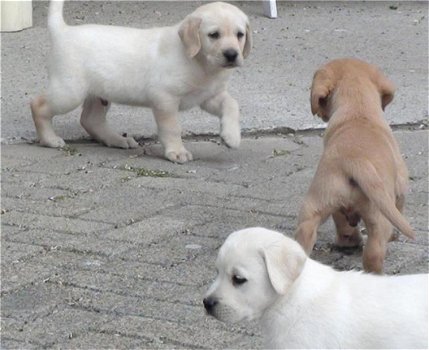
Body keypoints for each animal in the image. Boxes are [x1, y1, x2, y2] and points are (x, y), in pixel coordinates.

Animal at [31, 0, 251, 163]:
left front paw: (231, 136)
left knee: (90, 119)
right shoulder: (165, 98)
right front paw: (177, 151)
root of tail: (63, 30)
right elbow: (172, 127)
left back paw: (117, 140)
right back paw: (49, 139)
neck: (201, 63)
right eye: (214, 35)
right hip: (69, 91)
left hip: (99, 93)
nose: (232, 55)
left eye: (240, 34)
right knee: (38, 105)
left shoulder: (209, 95)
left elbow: (232, 104)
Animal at [296, 58, 412, 274]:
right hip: (379, 216)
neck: (358, 109)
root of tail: (354, 161)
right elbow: (399, 207)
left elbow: (342, 221)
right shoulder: (400, 185)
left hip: (314, 206)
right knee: (374, 252)